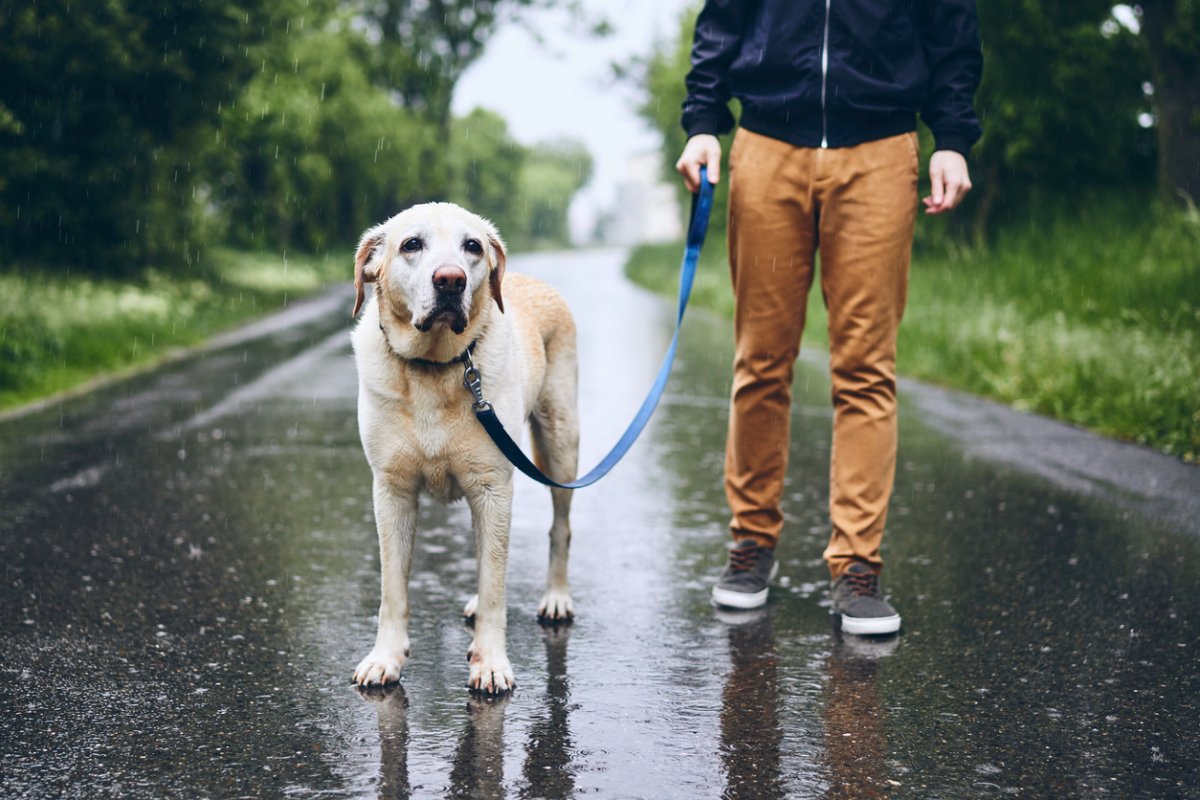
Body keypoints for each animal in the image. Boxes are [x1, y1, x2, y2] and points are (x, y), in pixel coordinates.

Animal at [350, 201, 578, 695]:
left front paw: (490, 662)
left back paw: (556, 597)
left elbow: (496, 589)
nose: (451, 279)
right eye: (411, 244)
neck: (434, 367)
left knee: (559, 529)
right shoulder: (391, 491)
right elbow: (392, 590)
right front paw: (385, 658)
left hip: (561, 444)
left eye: (472, 246)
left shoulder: (493, 488)